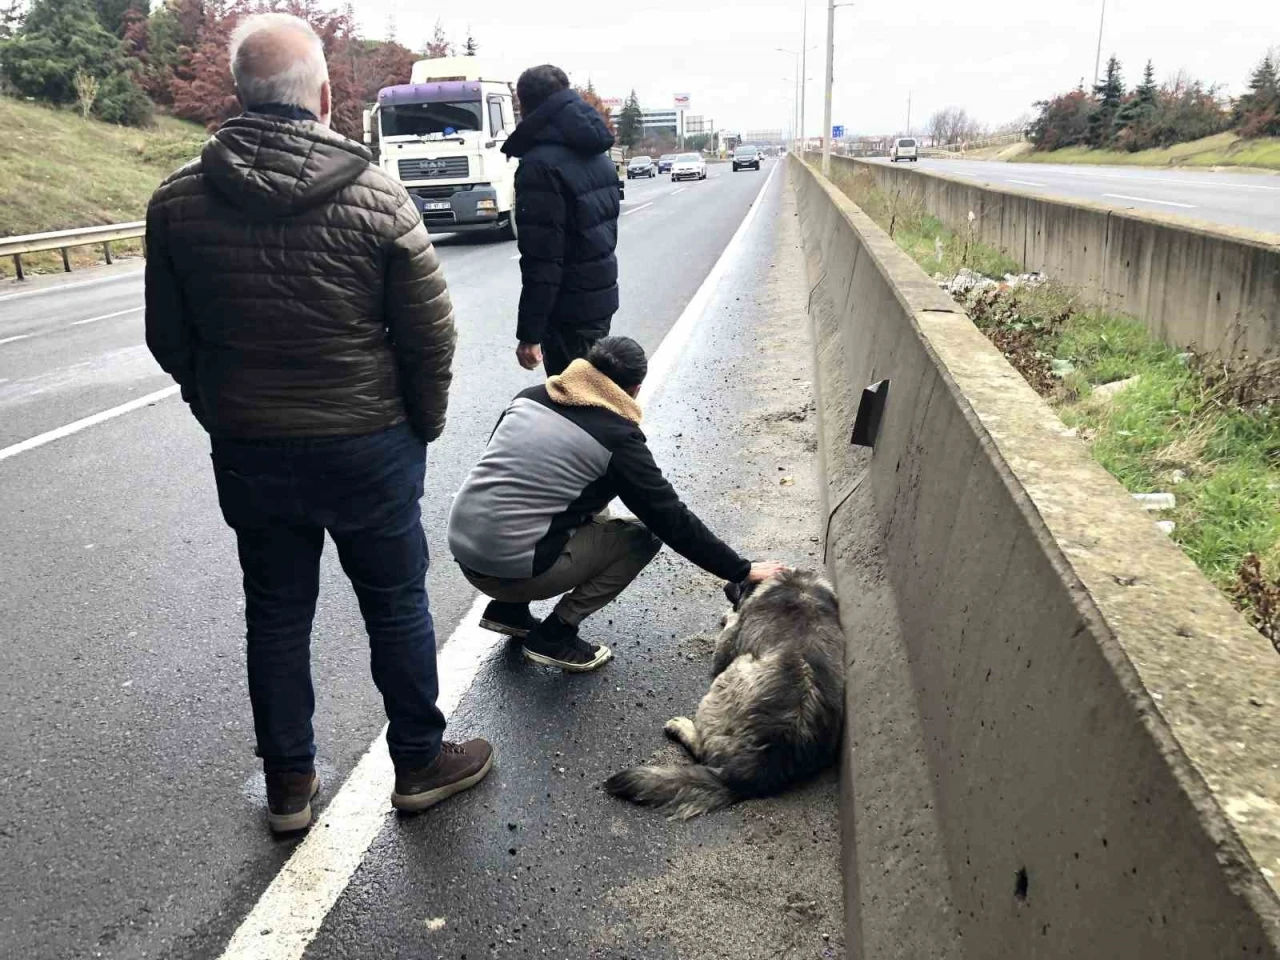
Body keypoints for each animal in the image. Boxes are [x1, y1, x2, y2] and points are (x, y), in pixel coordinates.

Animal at [604, 570, 844, 819]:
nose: (726, 586)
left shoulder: (727, 645)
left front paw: (729, 614)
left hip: (730, 673)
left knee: (703, 750)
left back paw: (681, 727)